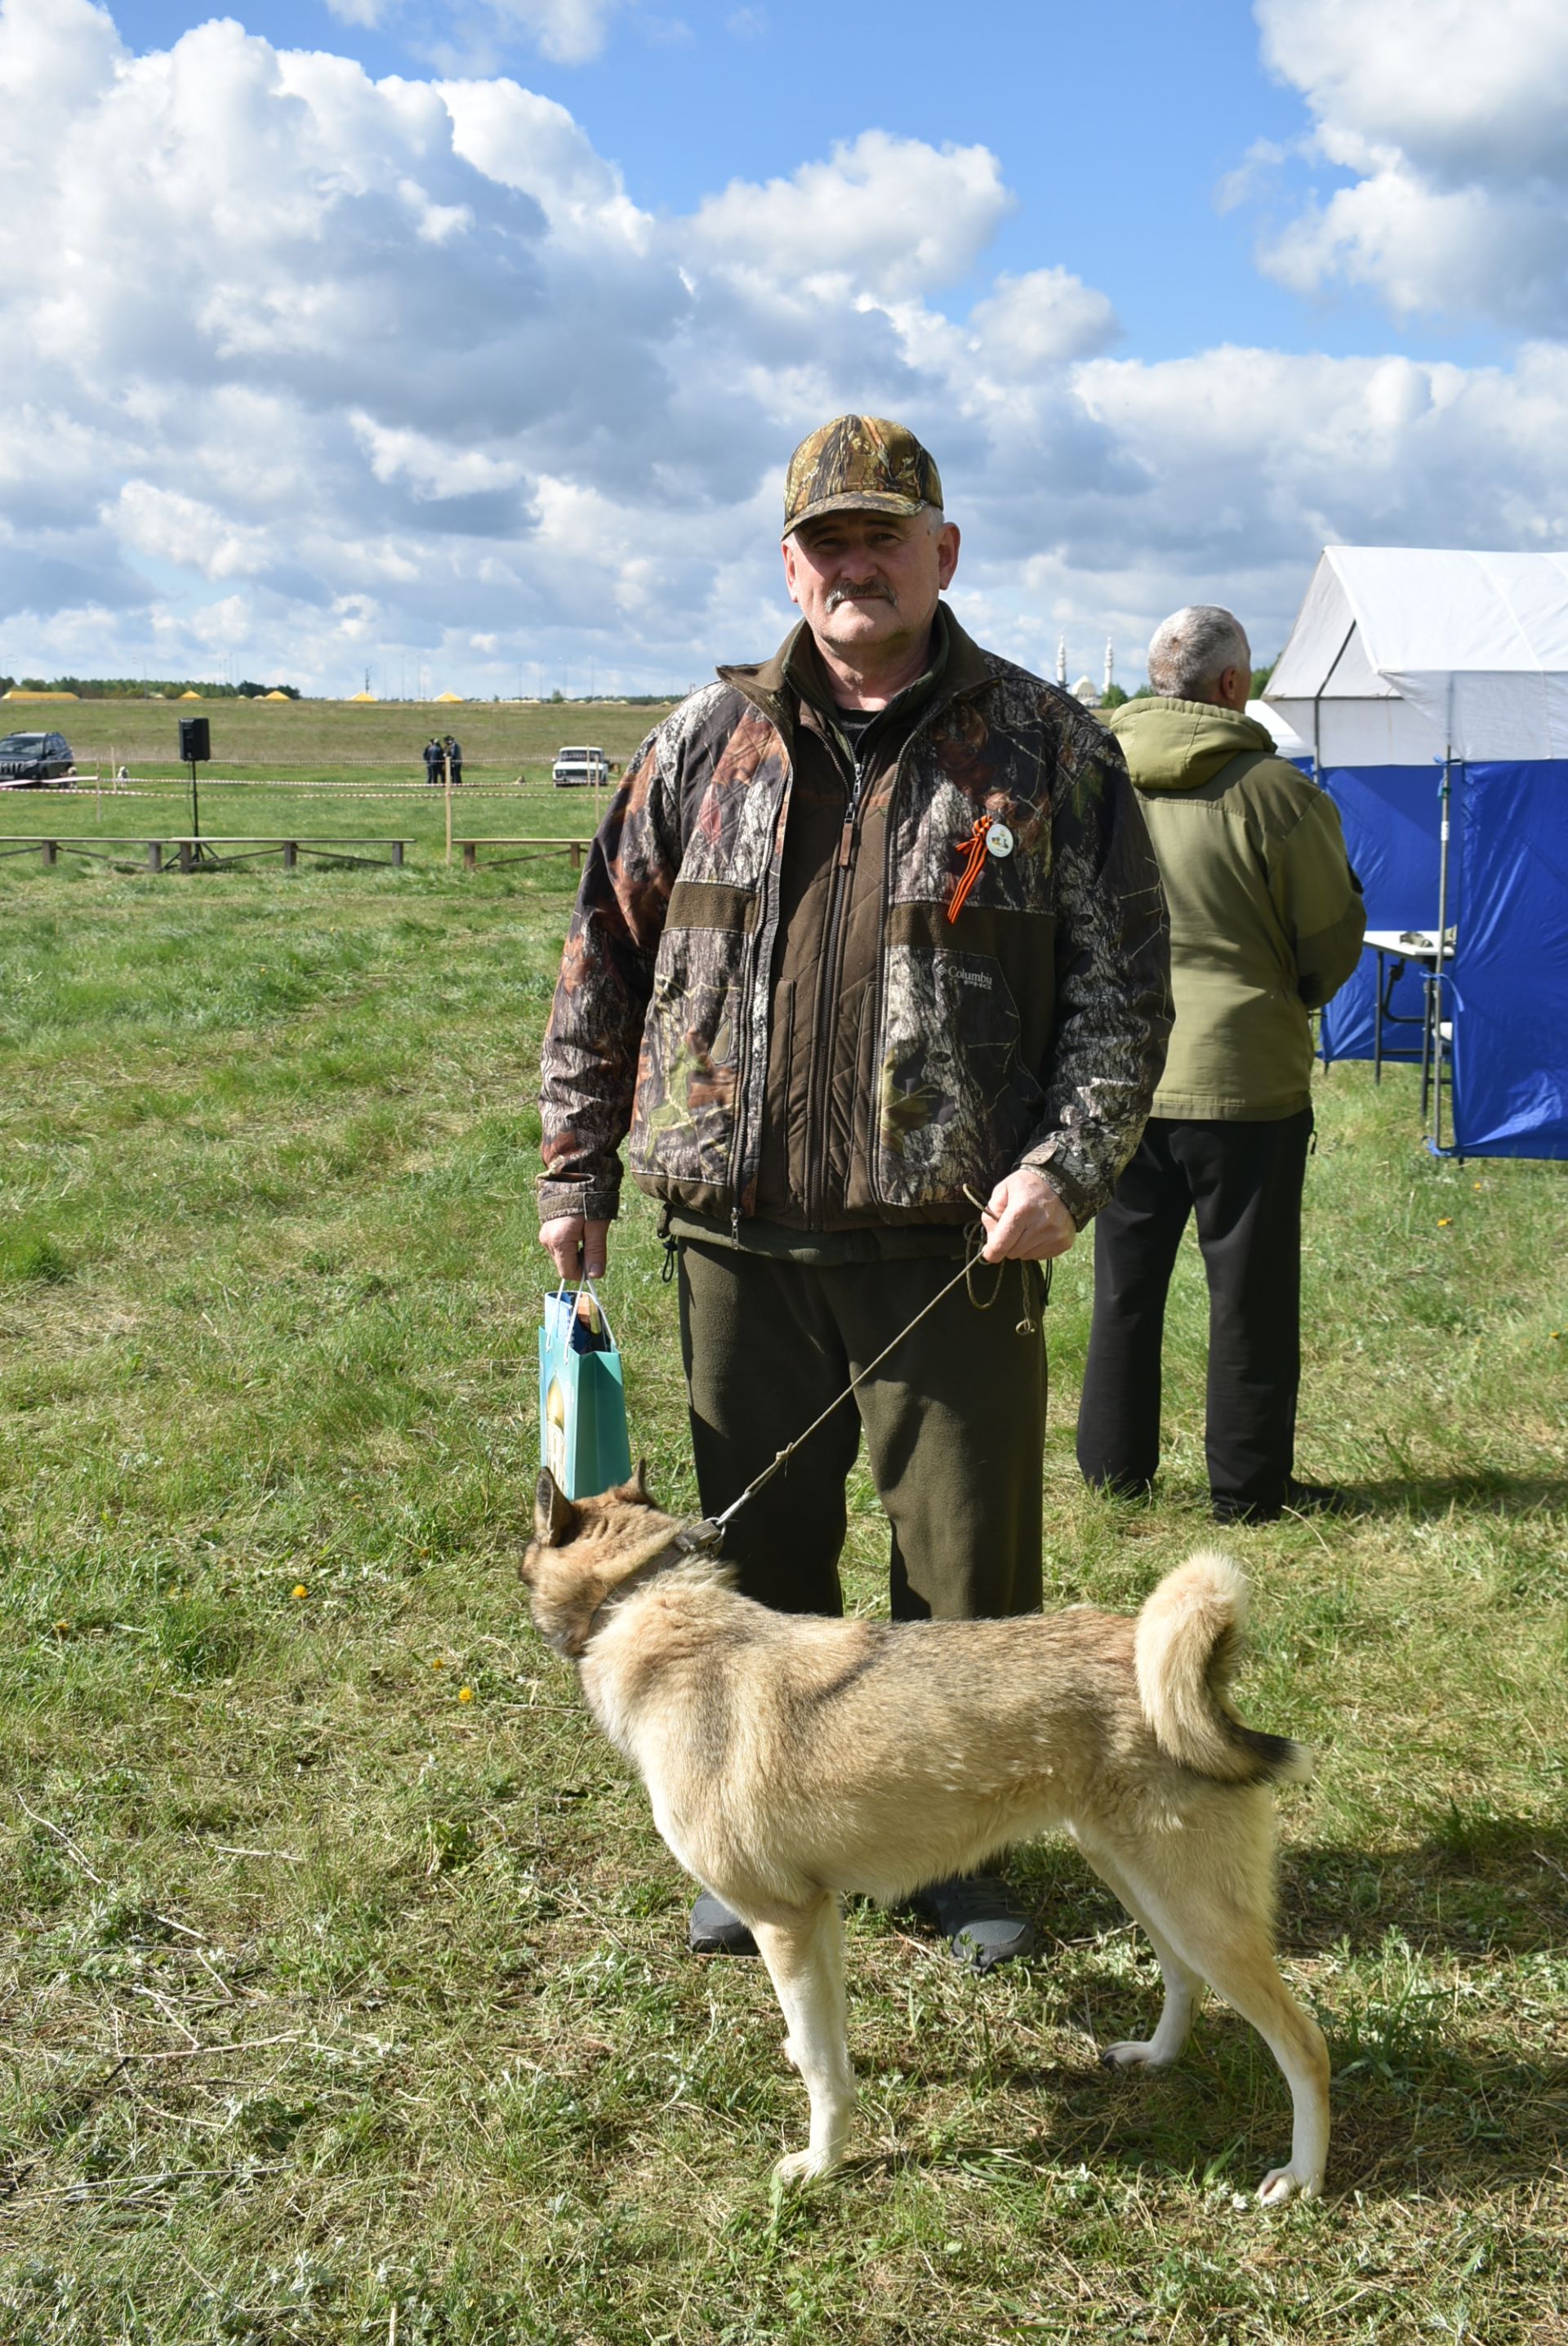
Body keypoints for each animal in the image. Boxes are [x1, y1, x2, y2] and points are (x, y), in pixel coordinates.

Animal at [520, 1464, 1331, 2196]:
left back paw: (1302, 2177)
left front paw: (819, 2165)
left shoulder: (783, 1920)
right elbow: (826, 2042)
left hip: (1199, 1913)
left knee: (1305, 2047)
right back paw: (1157, 2058)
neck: (644, 1604)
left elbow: (824, 2071)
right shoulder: (817, 1918)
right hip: (1140, 1883)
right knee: (1182, 1979)